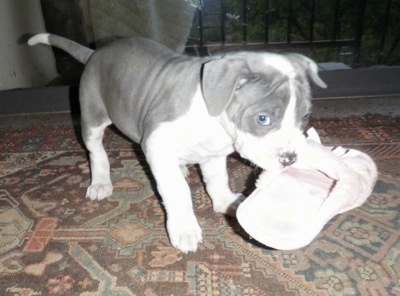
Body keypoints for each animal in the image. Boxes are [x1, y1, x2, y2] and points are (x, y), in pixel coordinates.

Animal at [29, 34, 326, 252]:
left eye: (305, 116)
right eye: (263, 119)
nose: (290, 158)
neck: (213, 113)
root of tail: (95, 52)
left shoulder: (214, 154)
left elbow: (217, 180)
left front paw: (225, 202)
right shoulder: (156, 144)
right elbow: (177, 191)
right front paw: (184, 228)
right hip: (92, 115)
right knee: (96, 150)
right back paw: (101, 182)